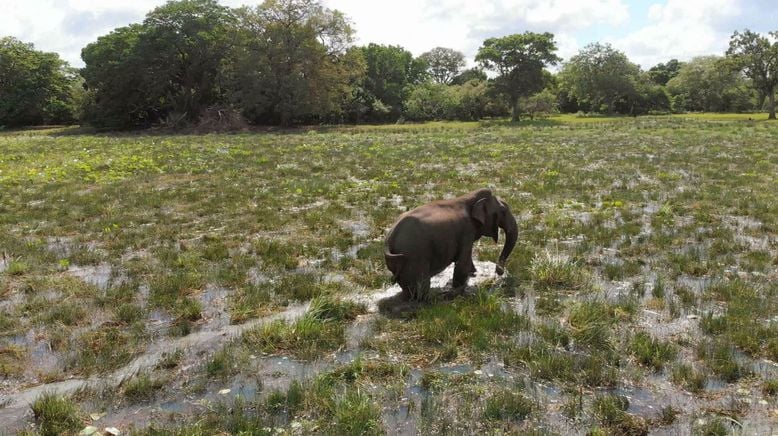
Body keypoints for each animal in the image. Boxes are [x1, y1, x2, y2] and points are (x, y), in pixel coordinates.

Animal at [382, 189, 516, 302]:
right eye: (503, 211)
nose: (499, 271)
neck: (469, 197)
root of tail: (389, 239)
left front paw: (473, 274)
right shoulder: (467, 230)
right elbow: (462, 262)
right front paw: (458, 290)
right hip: (414, 256)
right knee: (421, 285)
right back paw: (432, 299)